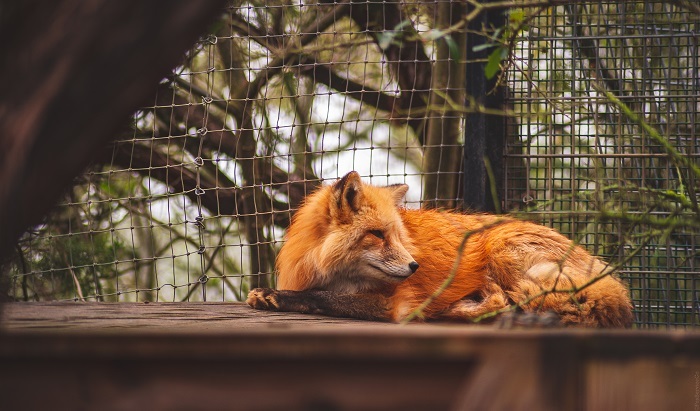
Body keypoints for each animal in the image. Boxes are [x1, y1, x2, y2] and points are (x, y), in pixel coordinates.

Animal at [247, 171, 634, 327]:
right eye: (378, 235)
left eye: (397, 236)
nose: (414, 267)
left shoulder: (396, 304)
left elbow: (324, 298)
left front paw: (275, 296)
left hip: (503, 250)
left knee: (504, 303)